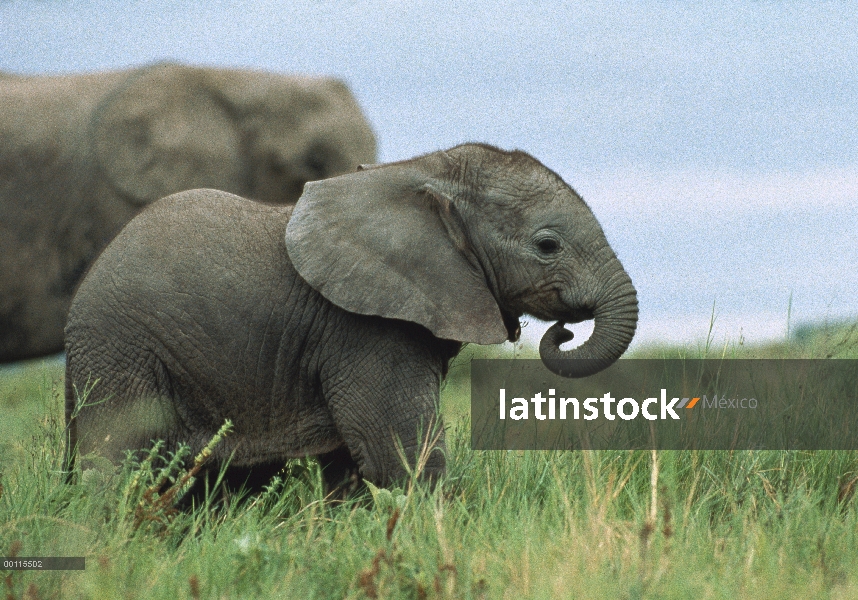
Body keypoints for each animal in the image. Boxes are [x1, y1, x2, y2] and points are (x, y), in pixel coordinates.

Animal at [63, 144, 636, 496]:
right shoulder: (366, 327)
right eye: (547, 245)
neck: (426, 172)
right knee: (122, 466)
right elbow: (396, 451)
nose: (562, 331)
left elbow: (352, 464)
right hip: (120, 349)